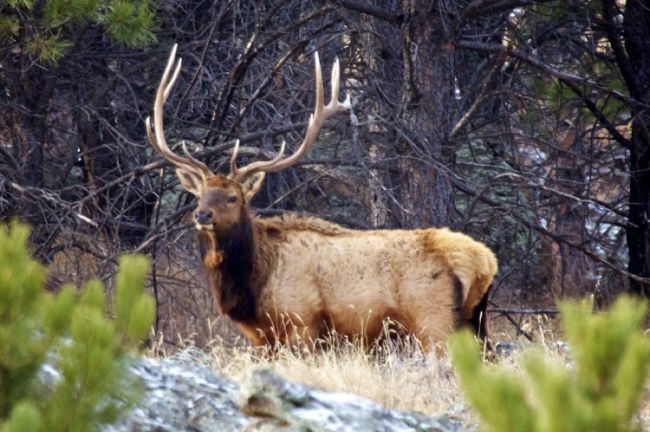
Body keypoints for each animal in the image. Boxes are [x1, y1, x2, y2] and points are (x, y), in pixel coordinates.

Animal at [144, 45, 494, 352]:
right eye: (199, 196)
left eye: (232, 198)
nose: (202, 215)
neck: (253, 283)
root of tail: (485, 262)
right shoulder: (262, 338)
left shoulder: (302, 322)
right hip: (476, 324)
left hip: (434, 320)